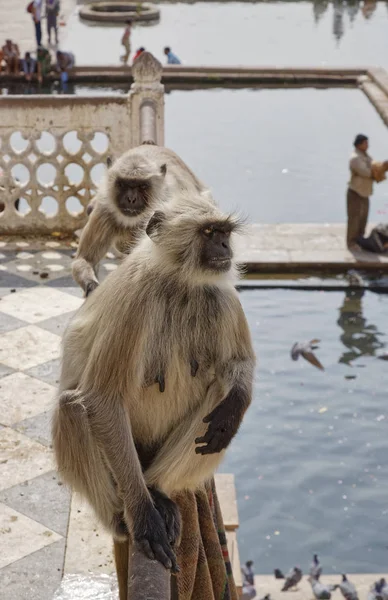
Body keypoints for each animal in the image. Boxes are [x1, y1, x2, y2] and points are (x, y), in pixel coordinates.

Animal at [53, 192, 256, 596]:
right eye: (208, 233)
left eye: (223, 232)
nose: (225, 248)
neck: (180, 282)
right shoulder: (135, 301)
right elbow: (101, 400)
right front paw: (144, 519)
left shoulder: (221, 293)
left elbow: (239, 367)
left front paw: (235, 406)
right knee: (72, 407)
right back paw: (125, 515)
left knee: (220, 395)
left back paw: (159, 488)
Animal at [71, 144, 208, 298]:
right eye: (123, 184)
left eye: (142, 186)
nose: (131, 199)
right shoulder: (104, 210)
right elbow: (84, 259)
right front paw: (93, 288)